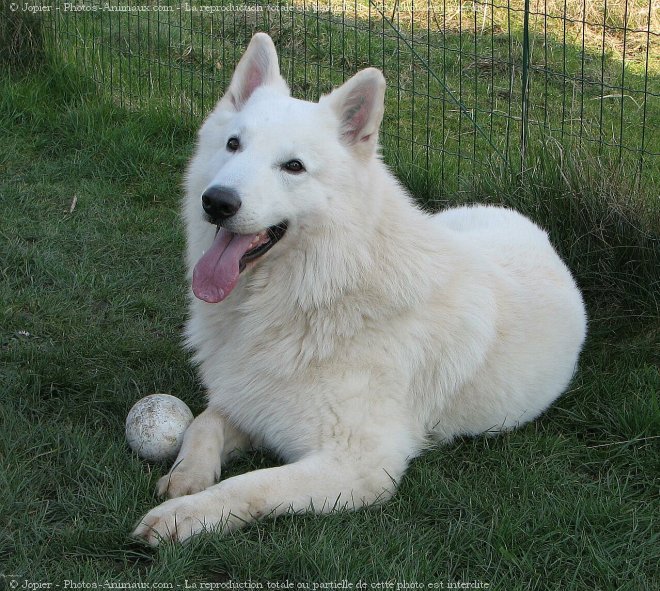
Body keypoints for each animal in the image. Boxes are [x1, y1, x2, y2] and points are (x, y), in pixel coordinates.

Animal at [131, 33, 584, 544]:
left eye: (293, 166)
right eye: (233, 144)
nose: (217, 202)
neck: (319, 292)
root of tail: (525, 222)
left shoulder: (358, 465)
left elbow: (250, 484)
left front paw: (183, 515)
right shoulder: (248, 402)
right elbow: (205, 422)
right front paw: (187, 477)